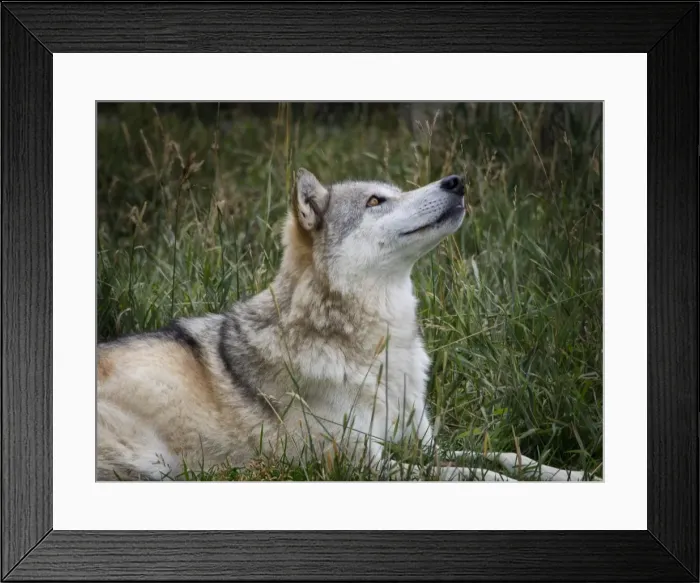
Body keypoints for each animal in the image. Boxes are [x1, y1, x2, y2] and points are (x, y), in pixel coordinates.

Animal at [97, 169, 598, 482]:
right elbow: (476, 472)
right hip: (156, 462)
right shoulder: (363, 466)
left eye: (396, 190)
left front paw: (573, 473)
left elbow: (506, 454)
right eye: (375, 201)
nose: (456, 181)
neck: (381, 350)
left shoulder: (420, 446)